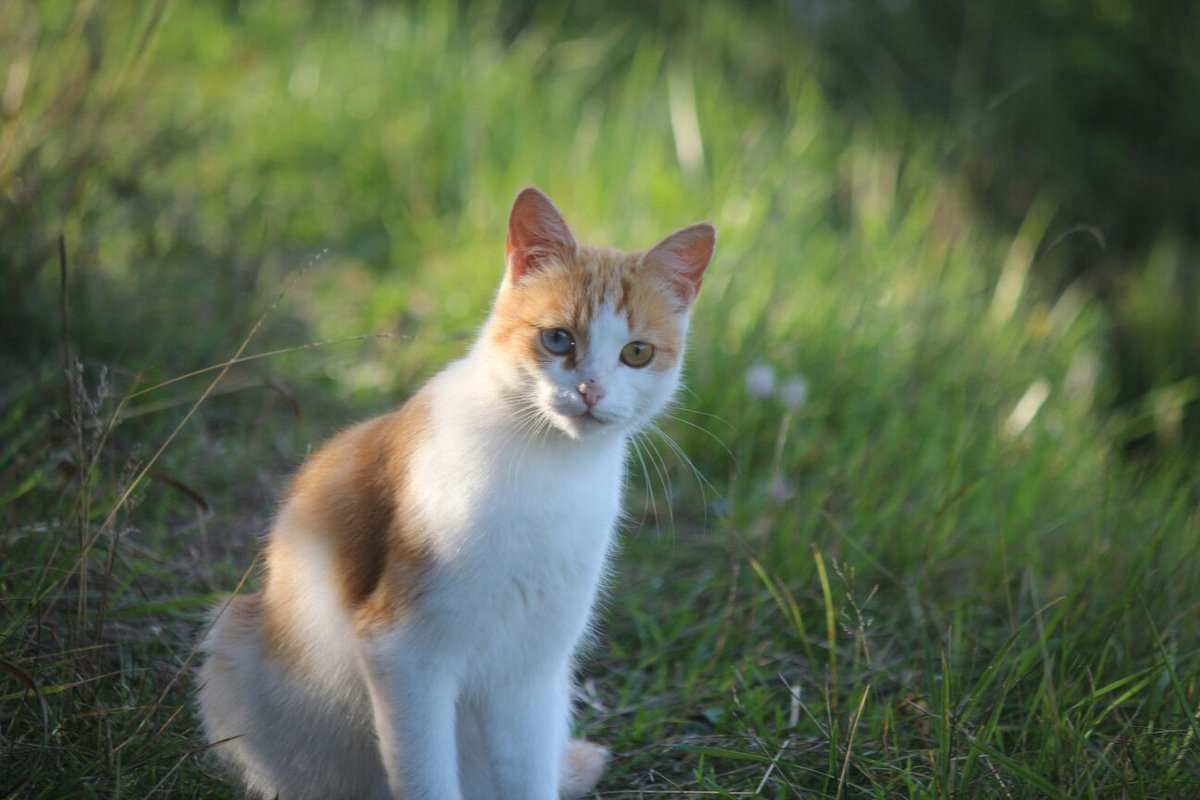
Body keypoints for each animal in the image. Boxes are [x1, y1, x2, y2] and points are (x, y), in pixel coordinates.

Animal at [196, 189, 710, 800]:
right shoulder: (405, 652)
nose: (591, 390)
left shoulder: (531, 673)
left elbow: (530, 774)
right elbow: (427, 778)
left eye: (636, 353)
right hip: (233, 642)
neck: (551, 469)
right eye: (558, 339)